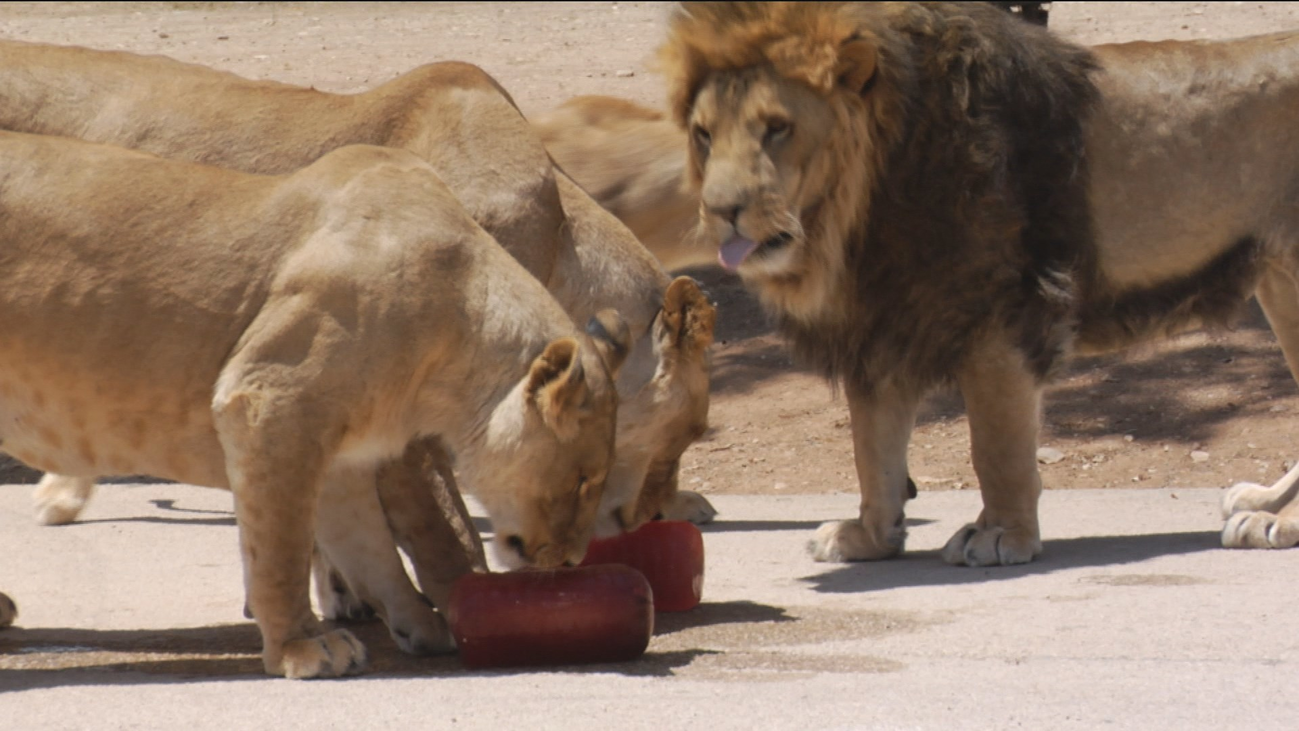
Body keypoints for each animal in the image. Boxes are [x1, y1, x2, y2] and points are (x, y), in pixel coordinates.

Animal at [0, 42, 716, 614]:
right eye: (684, 435)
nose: (653, 514)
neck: (561, 235)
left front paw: (338, 595)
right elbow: (441, 521)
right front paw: (463, 598)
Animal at [0, 132, 627, 677]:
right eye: (582, 481)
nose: (571, 560)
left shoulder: (339, 449)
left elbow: (370, 546)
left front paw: (419, 623)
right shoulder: (269, 401)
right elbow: (280, 545)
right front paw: (301, 647)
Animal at [654, 1, 1299, 565]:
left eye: (777, 129)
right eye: (703, 134)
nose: (720, 210)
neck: (855, 210)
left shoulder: (1002, 315)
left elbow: (995, 446)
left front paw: (1001, 535)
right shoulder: (880, 320)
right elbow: (873, 448)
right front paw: (868, 537)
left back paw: (1277, 521)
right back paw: (1266, 502)